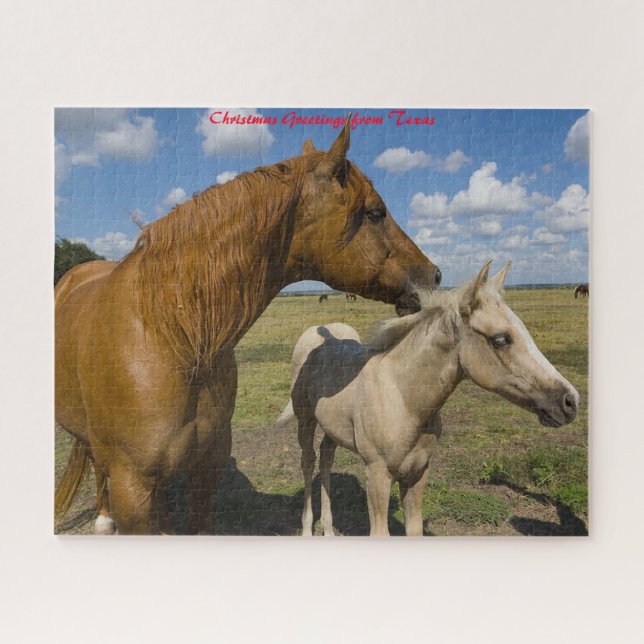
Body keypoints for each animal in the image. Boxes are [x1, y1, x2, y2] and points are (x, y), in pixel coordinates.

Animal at [55, 120, 442, 535]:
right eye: (375, 213)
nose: (434, 275)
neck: (169, 337)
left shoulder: (203, 472)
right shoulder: (133, 488)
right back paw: (103, 519)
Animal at [277, 261, 580, 537]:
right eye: (501, 339)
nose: (570, 401)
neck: (404, 398)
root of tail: (319, 330)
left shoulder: (418, 472)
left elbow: (415, 529)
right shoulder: (377, 475)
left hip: (333, 427)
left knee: (327, 458)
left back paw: (328, 530)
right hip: (305, 419)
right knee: (309, 461)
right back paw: (307, 530)